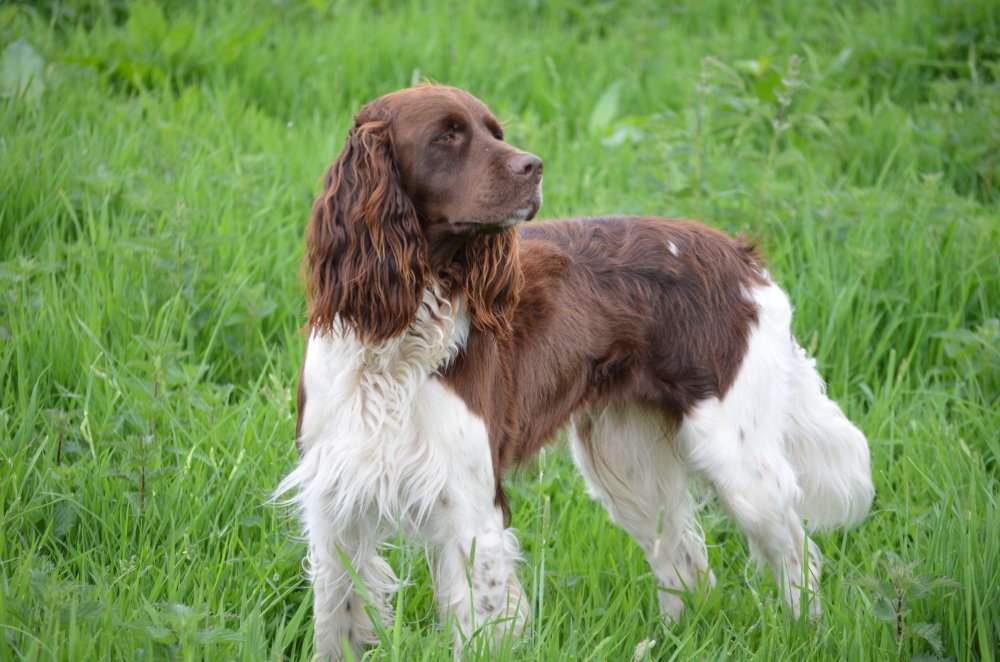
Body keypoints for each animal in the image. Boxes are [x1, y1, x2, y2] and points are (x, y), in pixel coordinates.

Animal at [278, 85, 872, 660]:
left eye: (495, 132)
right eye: (447, 135)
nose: (535, 166)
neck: (398, 340)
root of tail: (743, 258)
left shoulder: (470, 509)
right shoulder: (335, 507)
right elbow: (336, 621)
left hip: (739, 463)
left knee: (796, 551)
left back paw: (807, 636)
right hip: (628, 462)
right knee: (686, 562)